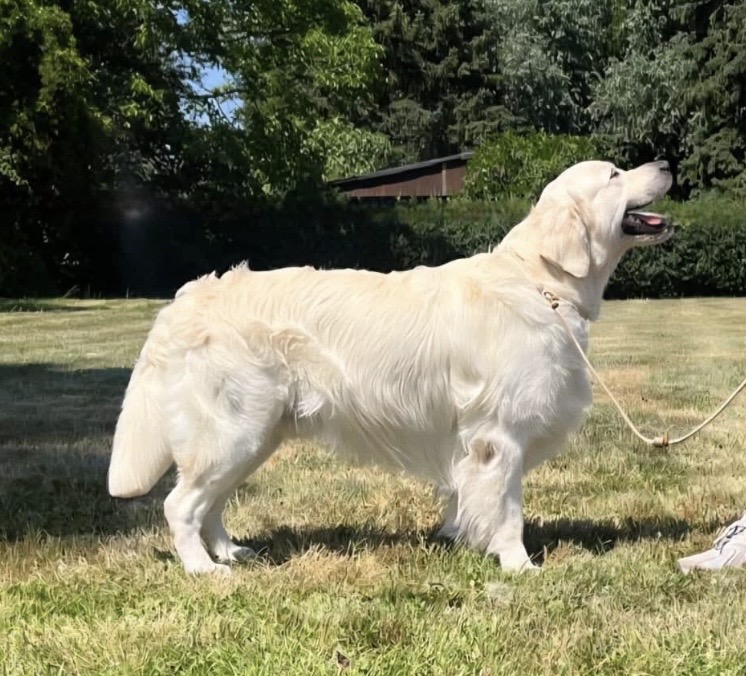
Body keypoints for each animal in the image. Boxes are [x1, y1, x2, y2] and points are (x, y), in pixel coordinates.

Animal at [108, 160, 673, 574]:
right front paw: (519, 567)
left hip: (254, 434)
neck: (542, 283)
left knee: (213, 502)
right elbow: (509, 510)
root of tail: (186, 299)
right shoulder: (501, 435)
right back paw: (204, 569)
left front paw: (463, 538)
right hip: (233, 430)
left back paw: (229, 550)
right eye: (614, 175)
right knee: (180, 504)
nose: (666, 162)